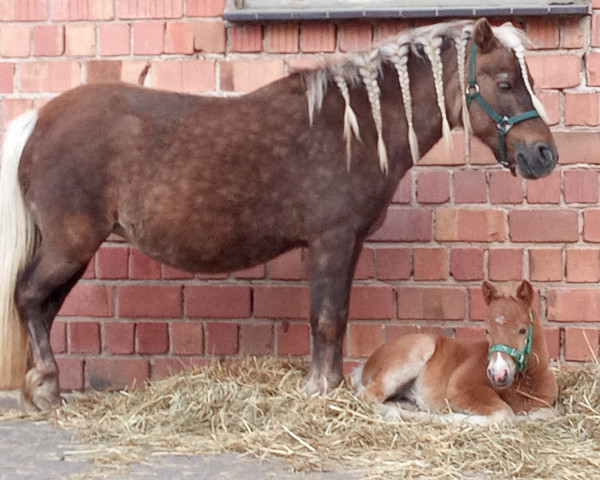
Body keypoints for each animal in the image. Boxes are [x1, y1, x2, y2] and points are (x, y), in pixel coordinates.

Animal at [0, 18, 556, 408]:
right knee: (29, 297)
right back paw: (45, 389)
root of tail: (39, 118)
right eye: (506, 82)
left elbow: (336, 316)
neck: (354, 129)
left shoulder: (348, 243)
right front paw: (319, 390)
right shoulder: (331, 240)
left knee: (42, 306)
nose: (544, 154)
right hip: (70, 244)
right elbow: (327, 318)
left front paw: (330, 385)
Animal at [352, 280, 556, 426]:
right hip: (407, 360)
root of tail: (367, 363)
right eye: (487, 330)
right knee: (367, 397)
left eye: (522, 330)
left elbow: (546, 414)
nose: (498, 373)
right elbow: (504, 415)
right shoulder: (461, 389)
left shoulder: (546, 404)